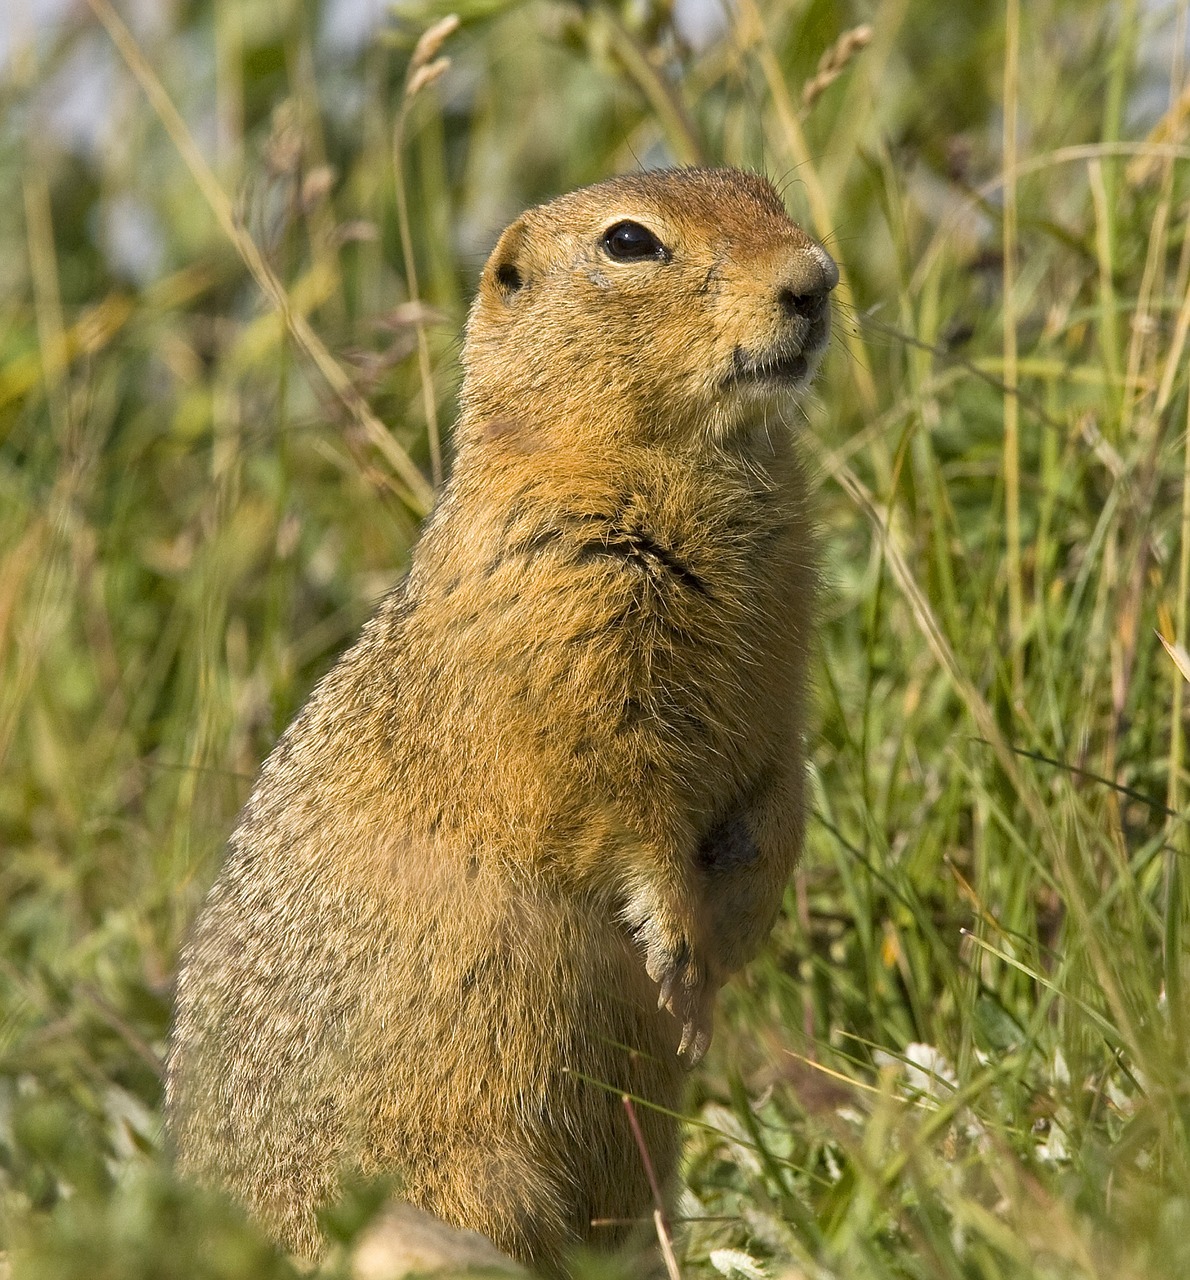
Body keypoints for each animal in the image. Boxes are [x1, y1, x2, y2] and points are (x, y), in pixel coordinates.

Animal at [166, 167, 834, 1269]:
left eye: (764, 190)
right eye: (629, 242)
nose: (815, 280)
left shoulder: (780, 682)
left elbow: (783, 785)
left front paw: (725, 945)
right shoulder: (562, 643)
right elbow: (618, 798)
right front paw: (679, 951)